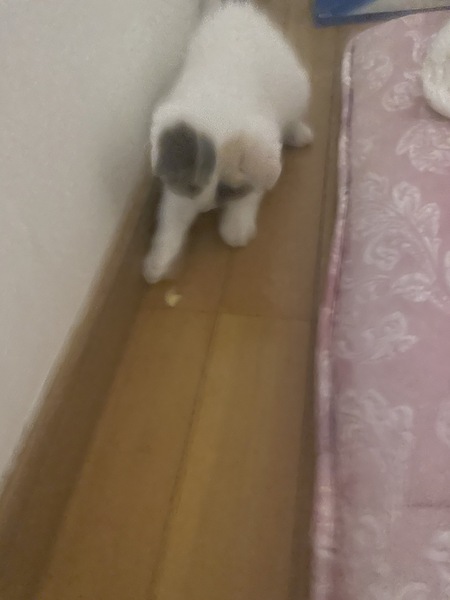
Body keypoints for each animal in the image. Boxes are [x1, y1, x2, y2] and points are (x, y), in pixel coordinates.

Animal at [143, 0, 312, 284]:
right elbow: (171, 219)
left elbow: (251, 194)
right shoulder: (177, 189)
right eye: (193, 186)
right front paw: (159, 261)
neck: (218, 115)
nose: (206, 208)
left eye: (228, 190)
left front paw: (235, 227)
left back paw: (300, 134)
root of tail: (235, 7)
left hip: (297, 89)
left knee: (293, 118)